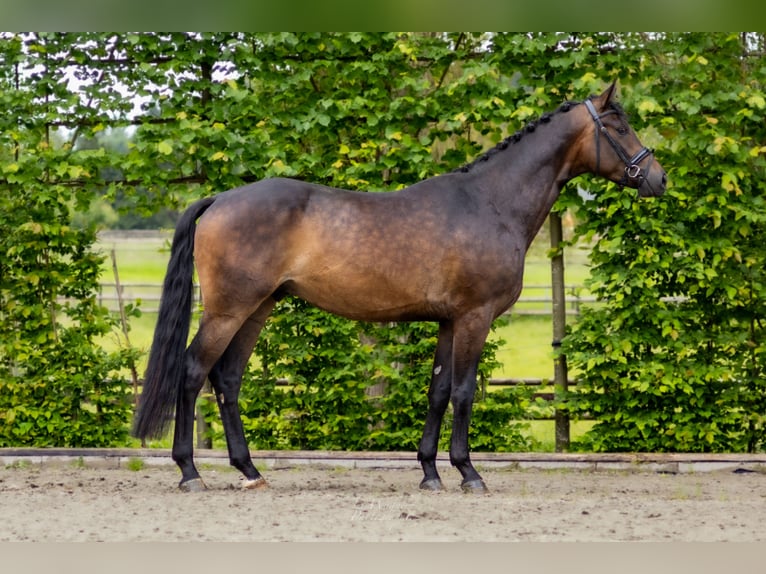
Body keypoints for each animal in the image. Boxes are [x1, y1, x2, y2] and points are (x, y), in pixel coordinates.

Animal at [132, 81, 664, 496]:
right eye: (619, 128)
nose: (657, 178)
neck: (490, 202)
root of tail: (220, 198)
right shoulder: (475, 317)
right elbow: (464, 391)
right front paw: (469, 473)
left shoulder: (449, 320)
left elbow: (439, 390)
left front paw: (430, 472)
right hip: (229, 309)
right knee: (193, 371)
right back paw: (190, 472)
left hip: (258, 307)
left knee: (227, 379)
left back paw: (249, 471)